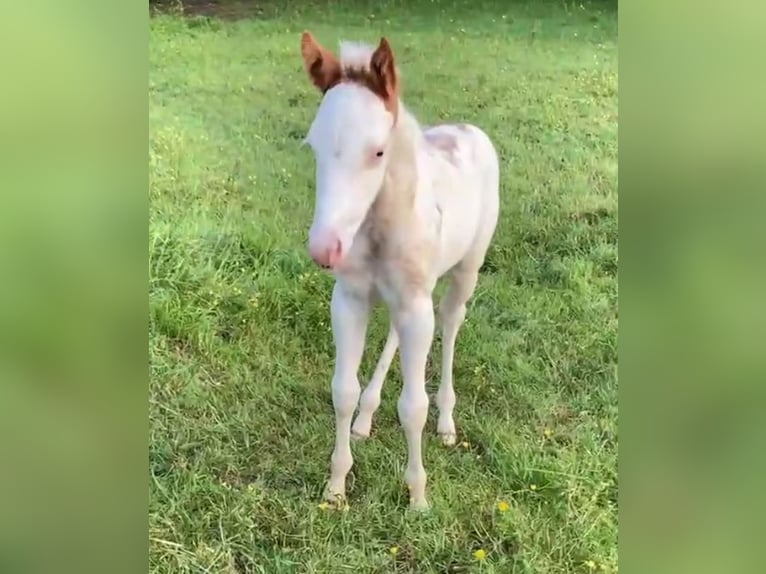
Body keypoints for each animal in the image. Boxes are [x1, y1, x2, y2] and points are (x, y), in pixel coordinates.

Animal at [299, 31, 500, 510]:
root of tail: (470, 130)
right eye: (314, 146)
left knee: (451, 321)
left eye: (378, 151)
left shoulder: (416, 306)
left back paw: (447, 423)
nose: (324, 249)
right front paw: (336, 487)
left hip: (463, 273)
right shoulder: (350, 299)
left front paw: (418, 497)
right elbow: (342, 391)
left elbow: (413, 406)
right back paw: (366, 418)